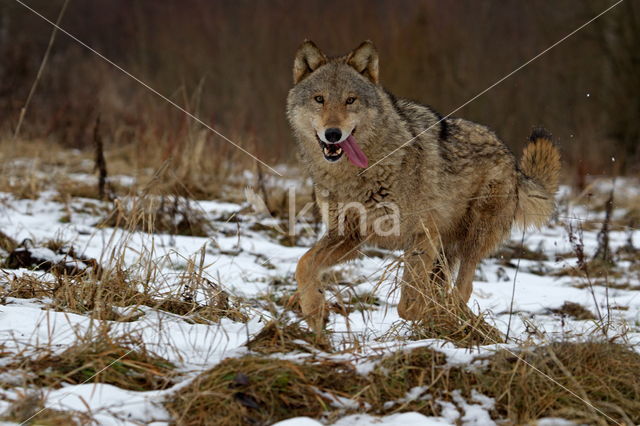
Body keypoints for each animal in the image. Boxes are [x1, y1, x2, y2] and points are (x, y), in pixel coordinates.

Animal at [284, 40, 560, 332]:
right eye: (319, 99)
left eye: (350, 100)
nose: (333, 134)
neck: (356, 175)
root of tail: (512, 159)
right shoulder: (348, 236)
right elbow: (303, 264)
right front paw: (315, 311)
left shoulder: (422, 236)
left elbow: (408, 304)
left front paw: (427, 314)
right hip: (444, 252)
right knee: (449, 288)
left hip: (472, 239)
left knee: (463, 289)